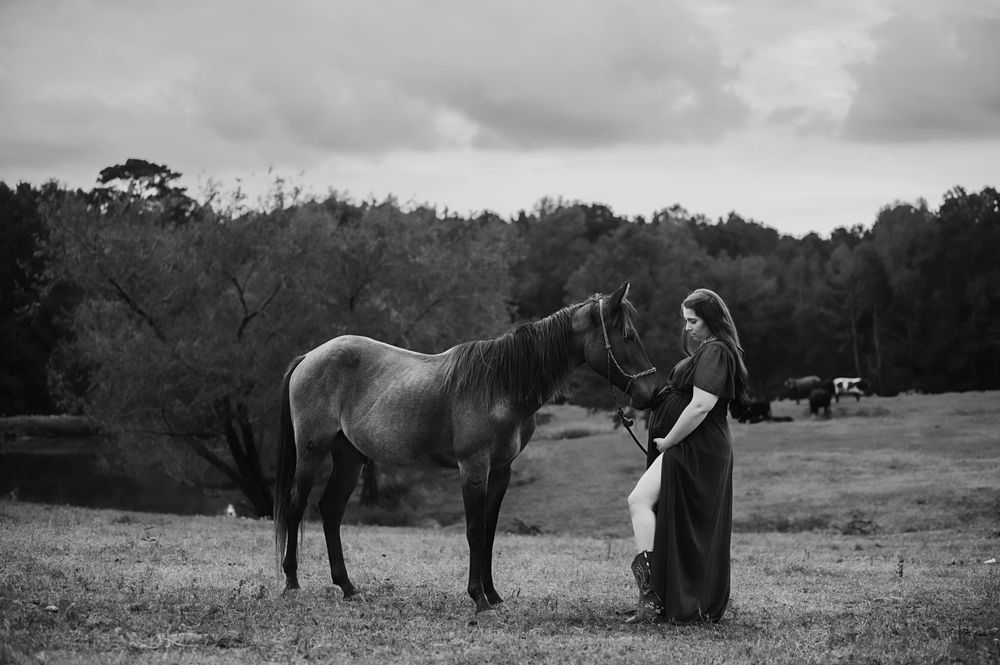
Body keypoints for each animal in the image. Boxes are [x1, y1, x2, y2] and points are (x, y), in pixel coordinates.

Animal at [273, 281, 660, 616]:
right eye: (628, 336)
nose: (653, 392)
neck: (501, 385)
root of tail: (310, 356)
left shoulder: (501, 471)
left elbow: (489, 531)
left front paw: (493, 594)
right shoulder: (473, 468)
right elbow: (474, 529)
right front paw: (478, 598)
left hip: (350, 457)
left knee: (331, 509)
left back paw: (348, 587)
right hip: (312, 450)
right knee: (296, 504)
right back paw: (291, 582)